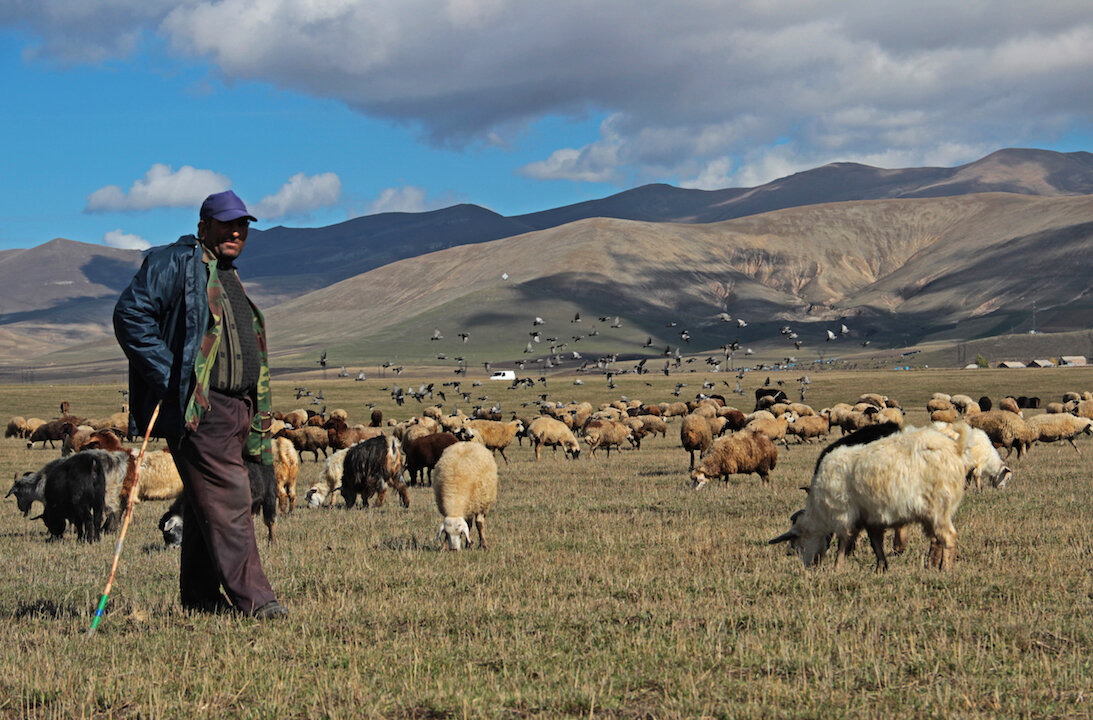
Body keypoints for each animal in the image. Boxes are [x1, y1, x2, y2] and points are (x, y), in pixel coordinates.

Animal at [769, 421, 1005, 572]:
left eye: (795, 545)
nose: (809, 567)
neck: (820, 510)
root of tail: (955, 447)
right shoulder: (870, 518)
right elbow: (876, 544)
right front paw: (881, 567)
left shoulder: (845, 515)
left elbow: (844, 543)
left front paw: (837, 568)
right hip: (933, 513)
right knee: (936, 539)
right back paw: (931, 565)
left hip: (939, 508)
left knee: (948, 537)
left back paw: (945, 569)